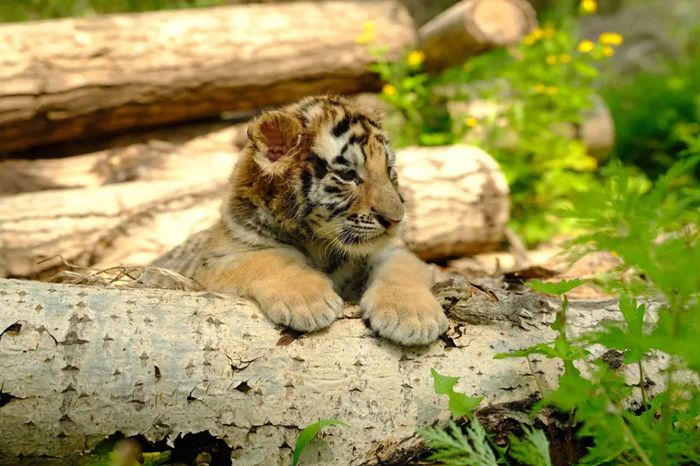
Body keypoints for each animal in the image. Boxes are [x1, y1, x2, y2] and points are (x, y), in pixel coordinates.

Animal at [191, 95, 448, 346]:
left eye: (388, 170)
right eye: (348, 174)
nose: (396, 219)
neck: (317, 243)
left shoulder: (390, 252)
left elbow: (401, 265)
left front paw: (412, 317)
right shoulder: (218, 258)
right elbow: (266, 258)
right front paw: (308, 301)